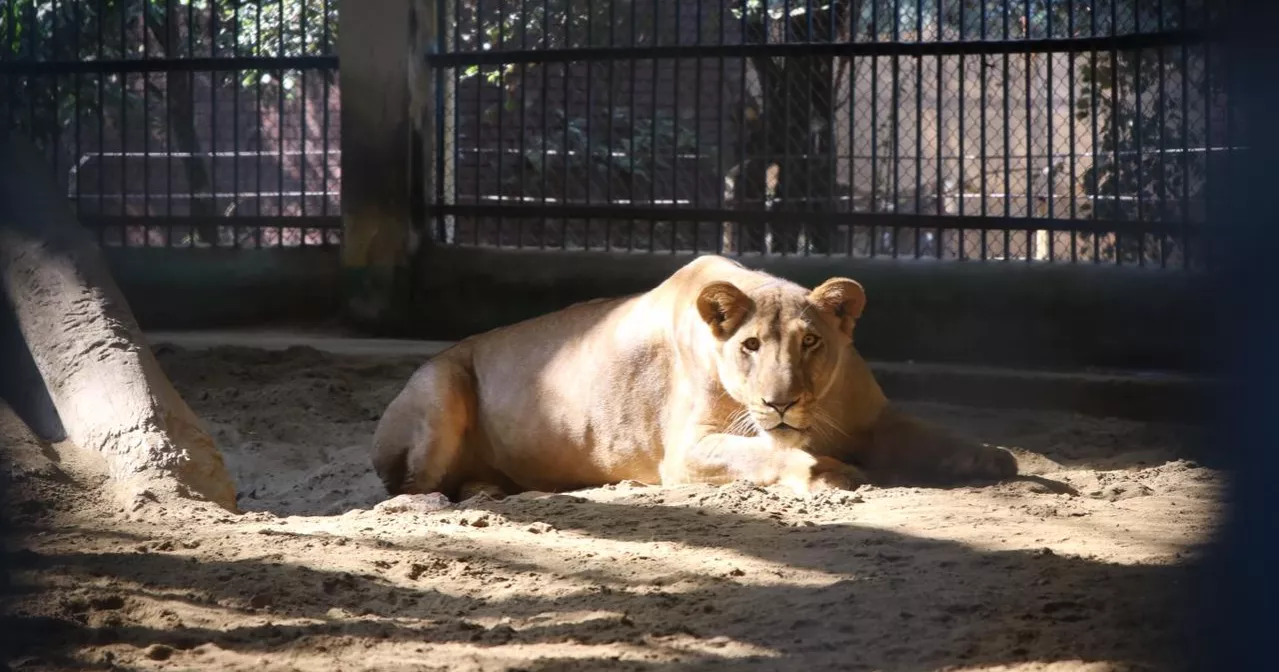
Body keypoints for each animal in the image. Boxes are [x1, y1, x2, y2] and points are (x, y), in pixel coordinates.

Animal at [372, 255, 1017, 500]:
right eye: (750, 346)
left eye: (810, 342)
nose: (780, 403)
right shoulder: (684, 451)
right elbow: (768, 454)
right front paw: (830, 472)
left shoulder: (876, 417)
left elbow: (931, 434)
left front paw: (989, 458)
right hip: (440, 383)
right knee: (409, 488)